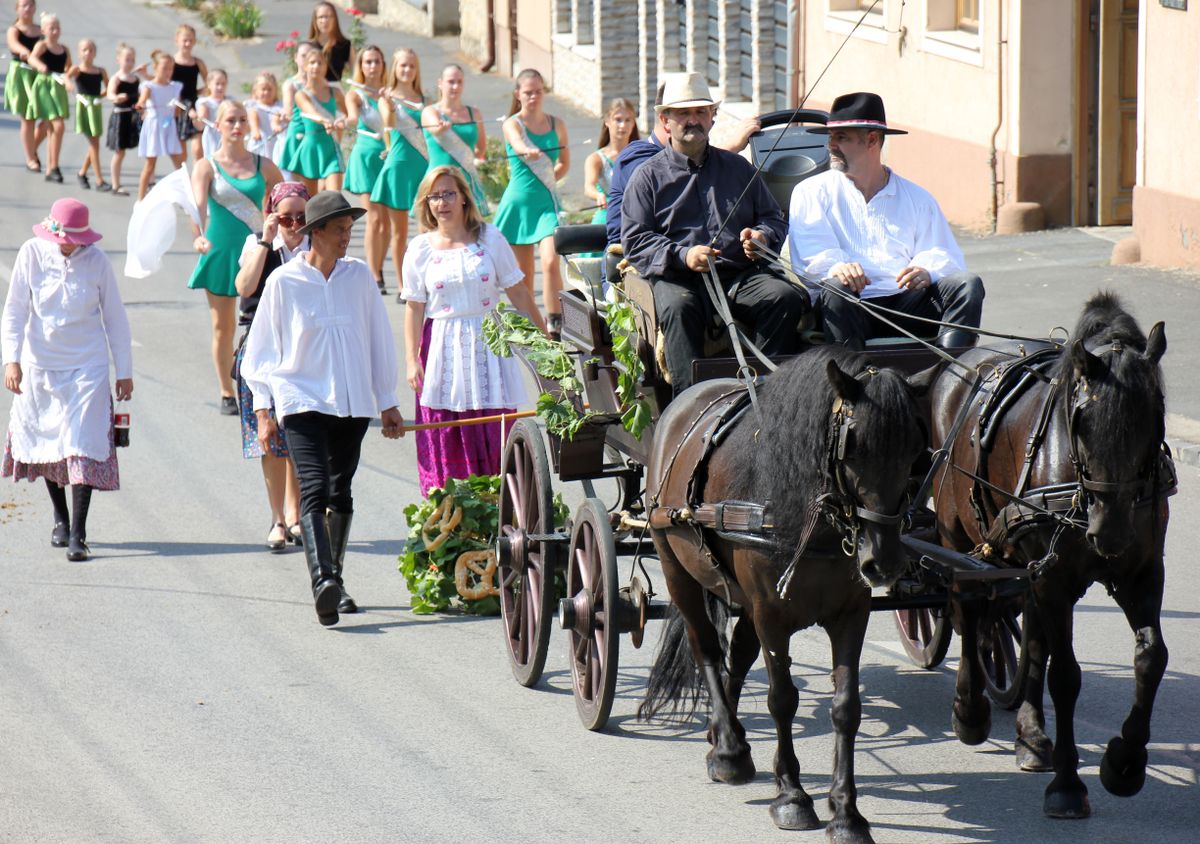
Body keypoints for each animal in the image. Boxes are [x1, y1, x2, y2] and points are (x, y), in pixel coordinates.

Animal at [638, 345, 926, 840]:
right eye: (854, 446)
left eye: (913, 451)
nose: (884, 562)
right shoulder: (772, 615)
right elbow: (782, 699)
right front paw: (792, 796)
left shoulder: (851, 614)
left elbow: (846, 707)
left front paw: (846, 812)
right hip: (677, 568)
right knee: (706, 647)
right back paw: (730, 750)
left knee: (737, 654)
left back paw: (725, 737)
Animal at [926, 294, 1171, 821]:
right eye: (1082, 420)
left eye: (1154, 416)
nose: (1110, 532)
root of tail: (957, 365)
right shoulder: (1054, 578)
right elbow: (1066, 675)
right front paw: (1067, 784)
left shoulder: (1141, 571)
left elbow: (1151, 658)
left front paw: (1124, 763)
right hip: (957, 534)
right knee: (968, 611)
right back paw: (970, 711)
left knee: (1028, 633)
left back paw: (1032, 737)